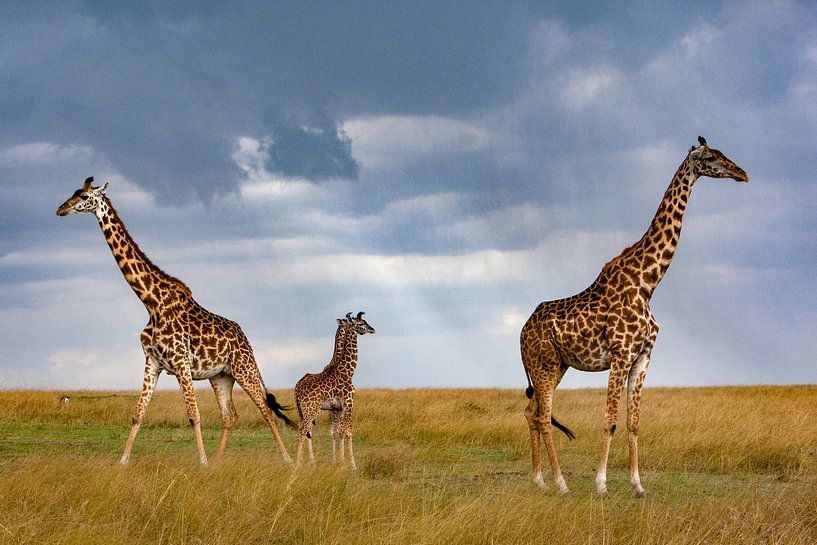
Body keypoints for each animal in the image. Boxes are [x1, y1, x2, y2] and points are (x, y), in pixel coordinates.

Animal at [56, 177, 296, 466]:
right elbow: (138, 413)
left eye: (83, 196)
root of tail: (245, 338)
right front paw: (123, 462)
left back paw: (287, 459)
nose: (60, 209)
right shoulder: (152, 362)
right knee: (230, 416)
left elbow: (194, 415)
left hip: (244, 369)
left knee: (265, 410)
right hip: (221, 376)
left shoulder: (181, 363)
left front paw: (202, 463)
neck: (151, 301)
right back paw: (219, 462)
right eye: (73, 192)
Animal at [294, 311, 375, 469]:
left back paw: (308, 461)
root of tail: (297, 387)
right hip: (311, 408)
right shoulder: (348, 403)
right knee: (303, 429)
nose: (372, 329)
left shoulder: (336, 408)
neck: (348, 372)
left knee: (306, 429)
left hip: (303, 410)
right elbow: (348, 431)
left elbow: (337, 432)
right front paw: (352, 465)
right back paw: (299, 463)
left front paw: (338, 461)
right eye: (361, 323)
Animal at [521, 137, 748, 497]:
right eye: (712, 158)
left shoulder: (643, 358)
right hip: (543, 364)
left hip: (557, 365)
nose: (742, 173)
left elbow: (634, 422)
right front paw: (601, 486)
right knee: (543, 416)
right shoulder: (621, 355)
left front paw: (638, 486)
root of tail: (520, 333)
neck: (648, 283)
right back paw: (561, 483)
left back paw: (539, 479)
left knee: (532, 411)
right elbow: (610, 420)